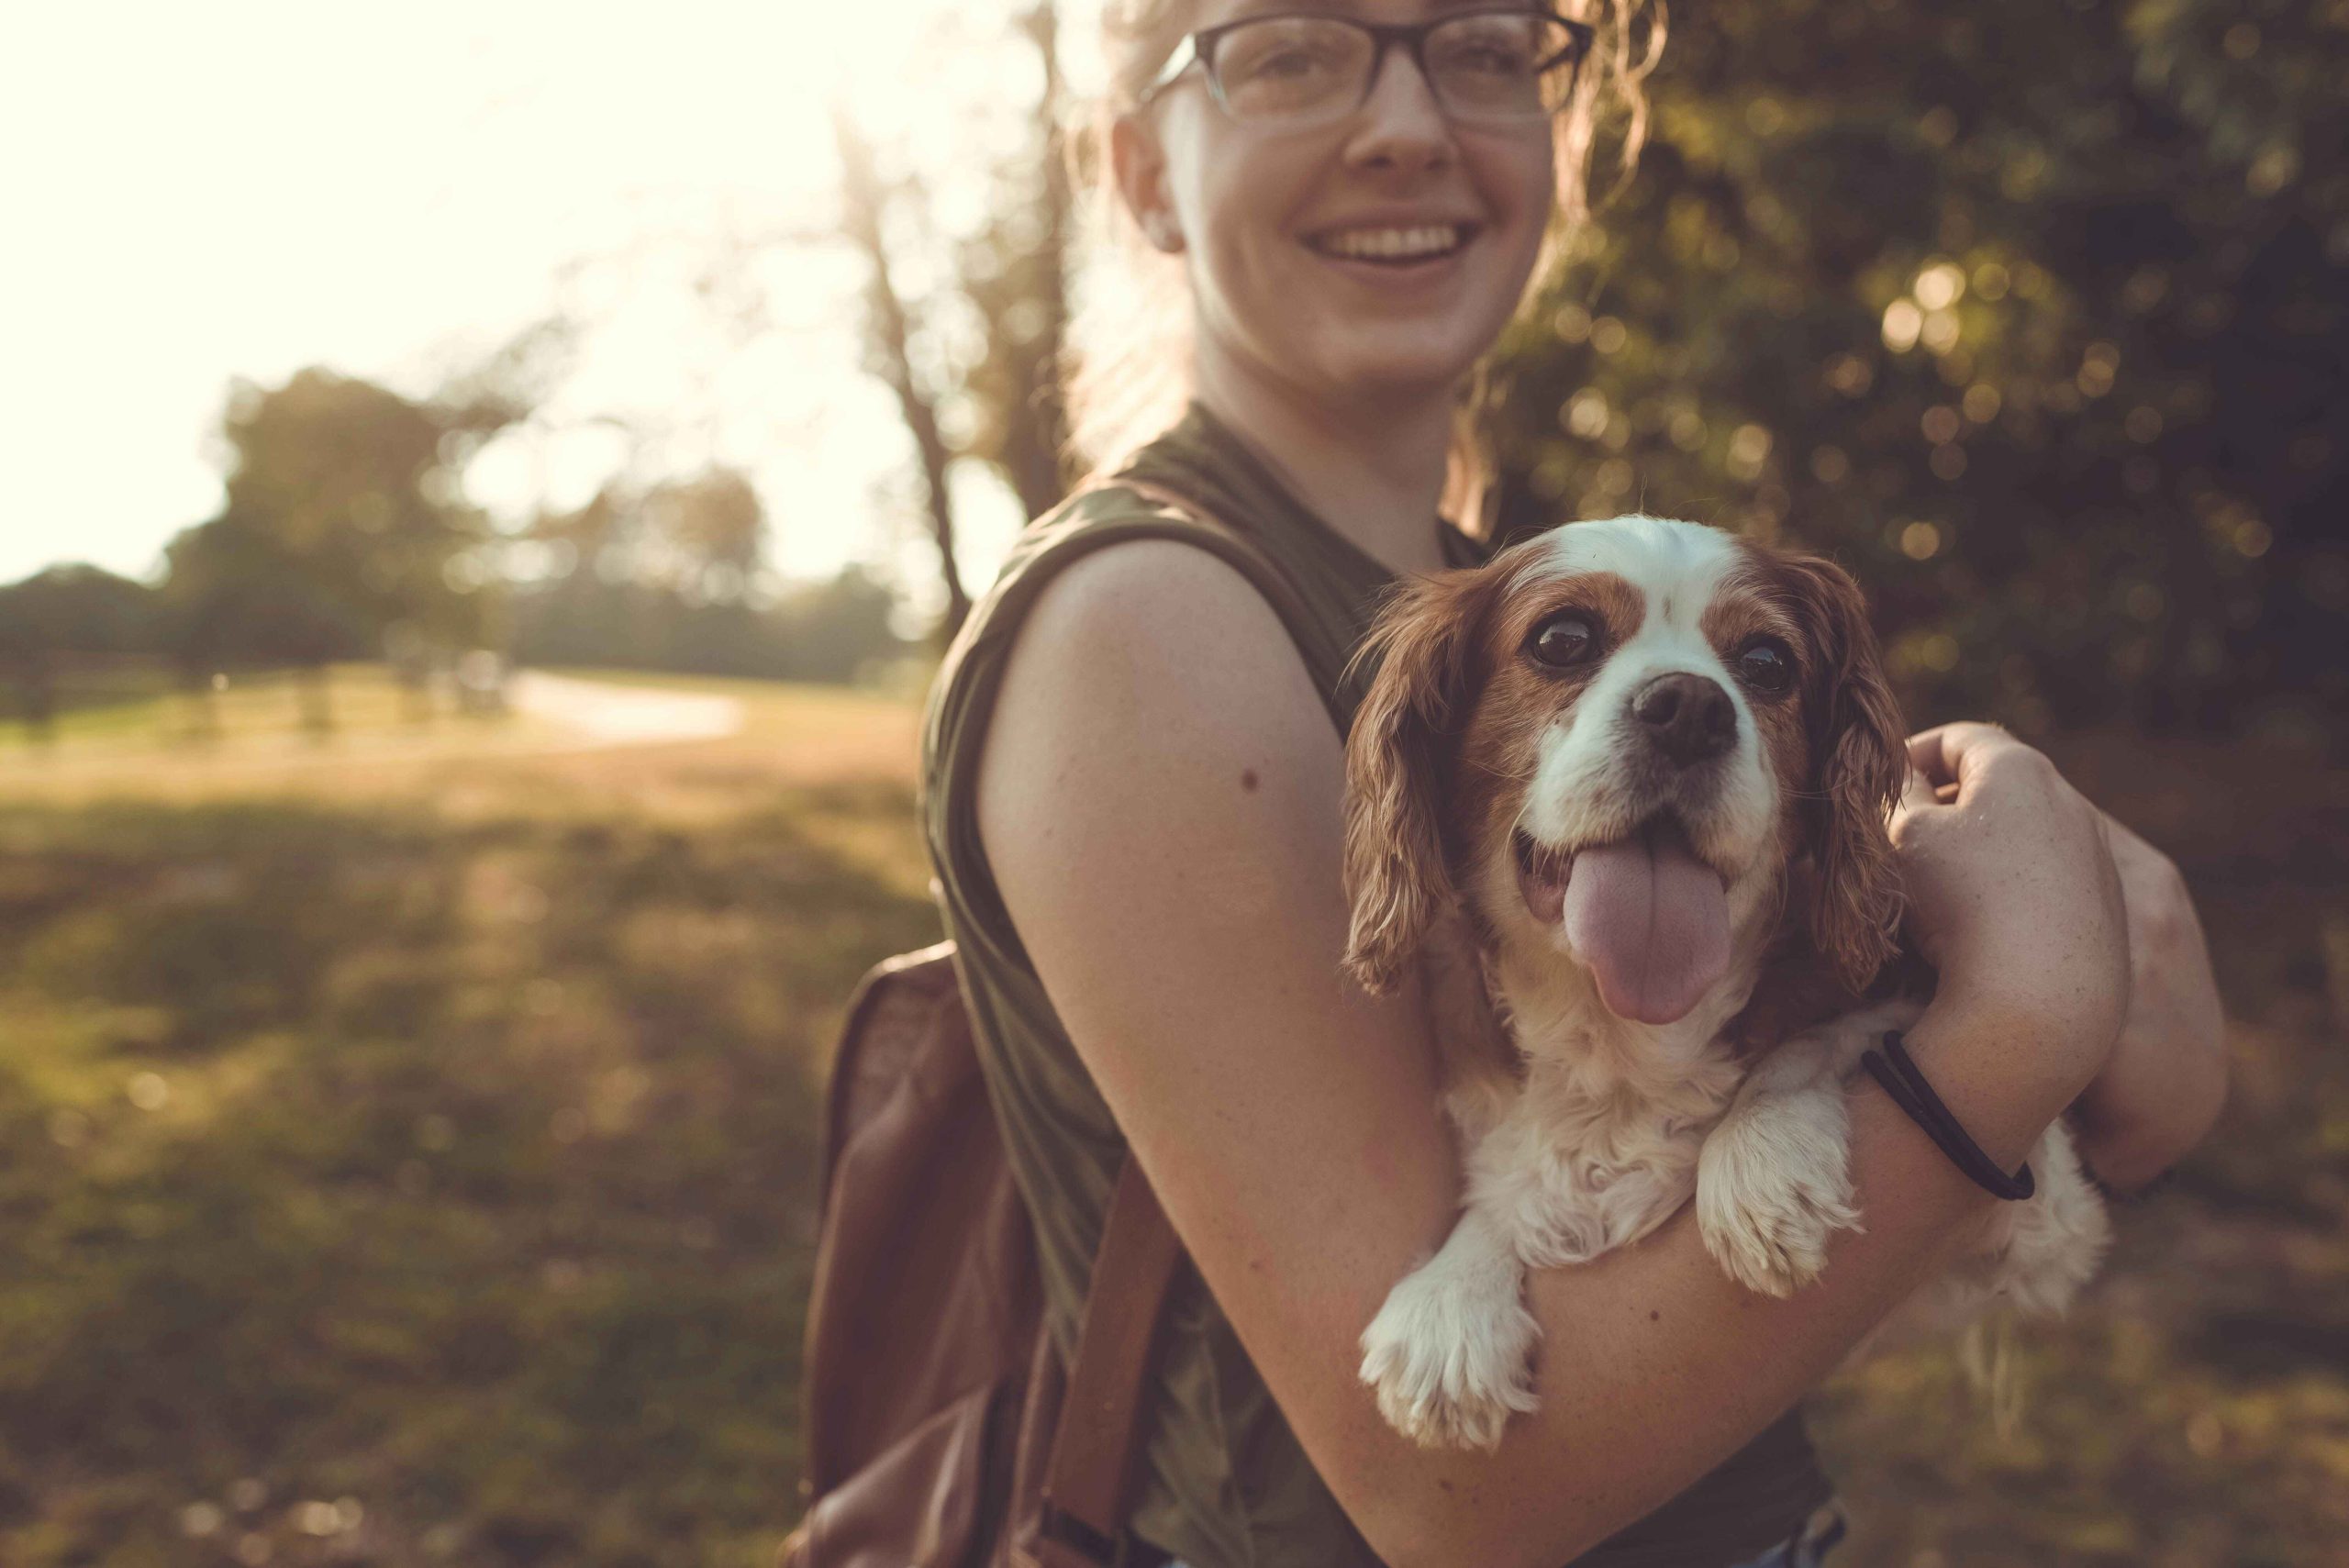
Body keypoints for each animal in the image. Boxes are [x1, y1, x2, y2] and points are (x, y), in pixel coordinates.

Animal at [1343, 520, 2114, 1455]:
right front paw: (1453, 1298)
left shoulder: (2046, 1227)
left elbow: (1832, 1034)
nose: (1690, 708)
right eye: (1561, 639)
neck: (1625, 1038)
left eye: (1768, 661)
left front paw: (1761, 1157)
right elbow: (1515, 1180)